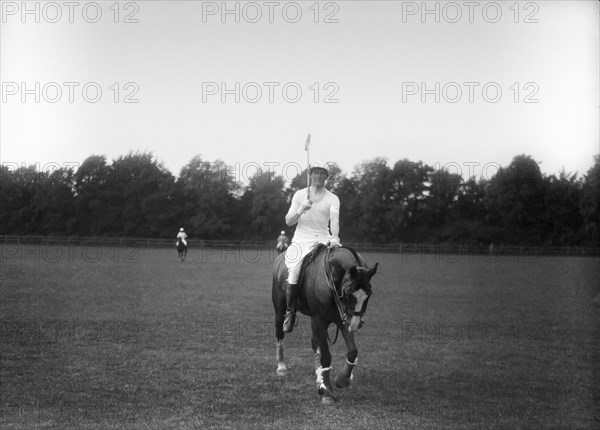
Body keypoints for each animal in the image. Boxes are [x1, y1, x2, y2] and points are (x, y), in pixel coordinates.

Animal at [270, 245, 376, 404]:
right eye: (348, 292)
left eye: (369, 294)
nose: (356, 324)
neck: (334, 279)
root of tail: (280, 257)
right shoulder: (320, 319)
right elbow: (326, 356)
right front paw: (327, 392)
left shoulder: (341, 318)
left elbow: (352, 351)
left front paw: (342, 379)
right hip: (280, 309)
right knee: (279, 333)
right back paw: (281, 366)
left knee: (315, 343)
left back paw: (319, 378)